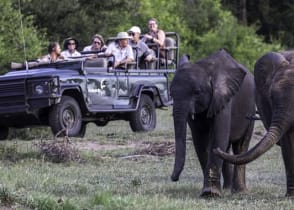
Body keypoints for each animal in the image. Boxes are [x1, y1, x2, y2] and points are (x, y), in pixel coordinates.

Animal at [171, 49, 256, 197]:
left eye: (197, 92)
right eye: (171, 94)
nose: (174, 178)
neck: (206, 68)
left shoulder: (224, 99)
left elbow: (217, 137)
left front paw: (210, 193)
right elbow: (200, 141)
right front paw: (209, 191)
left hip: (251, 109)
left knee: (240, 146)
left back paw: (238, 192)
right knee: (226, 148)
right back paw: (227, 189)